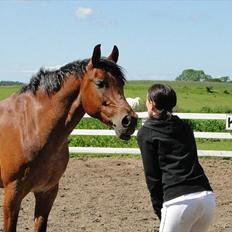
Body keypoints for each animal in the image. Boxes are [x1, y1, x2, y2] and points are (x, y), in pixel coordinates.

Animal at [0, 44, 137, 231]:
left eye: (121, 84)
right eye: (100, 83)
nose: (129, 121)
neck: (31, 127)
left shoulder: (47, 192)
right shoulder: (12, 196)